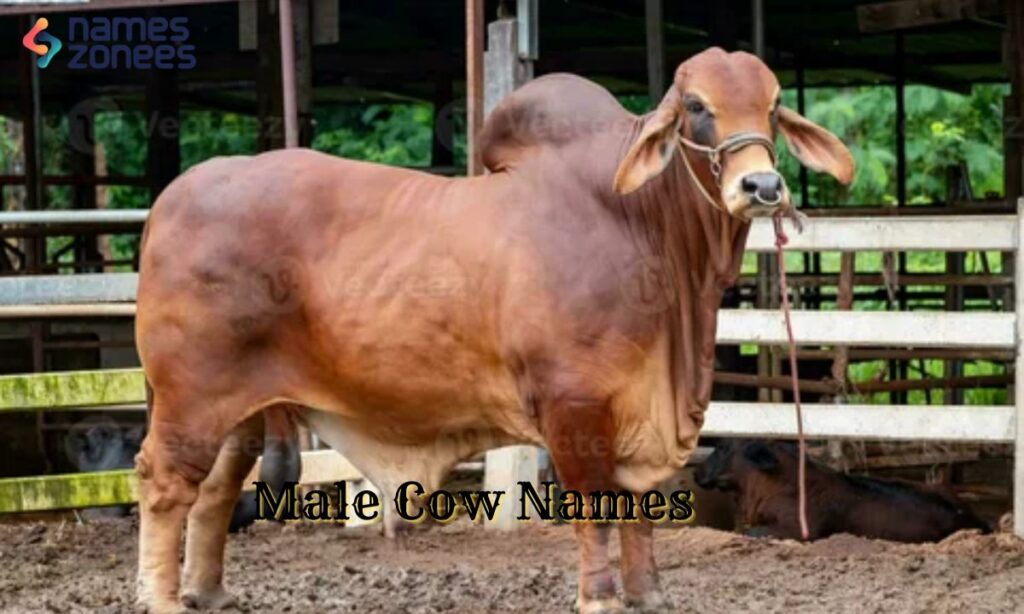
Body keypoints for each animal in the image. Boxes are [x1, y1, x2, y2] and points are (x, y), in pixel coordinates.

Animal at [133, 48, 854, 613]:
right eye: (698, 106)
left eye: (774, 105)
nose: (761, 186)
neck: (645, 230)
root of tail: (172, 197)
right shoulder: (575, 406)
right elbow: (593, 507)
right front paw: (599, 597)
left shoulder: (644, 413)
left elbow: (638, 507)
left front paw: (649, 594)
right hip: (190, 396)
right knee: (165, 484)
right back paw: (163, 598)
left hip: (241, 407)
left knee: (217, 487)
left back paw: (207, 592)